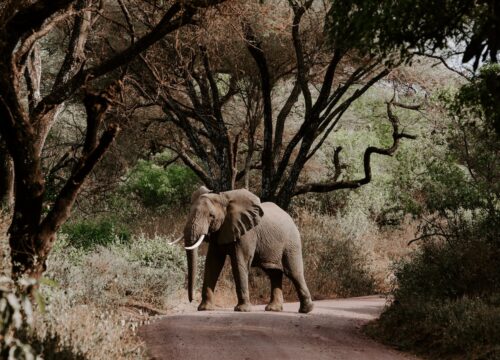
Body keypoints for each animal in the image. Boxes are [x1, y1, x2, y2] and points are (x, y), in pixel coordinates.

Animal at [177, 186, 312, 312]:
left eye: (211, 216)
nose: (191, 300)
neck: (223, 198)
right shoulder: (220, 231)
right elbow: (212, 263)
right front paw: (204, 309)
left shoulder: (247, 233)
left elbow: (239, 262)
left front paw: (242, 309)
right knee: (274, 273)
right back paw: (273, 309)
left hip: (291, 243)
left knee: (294, 272)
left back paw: (306, 310)